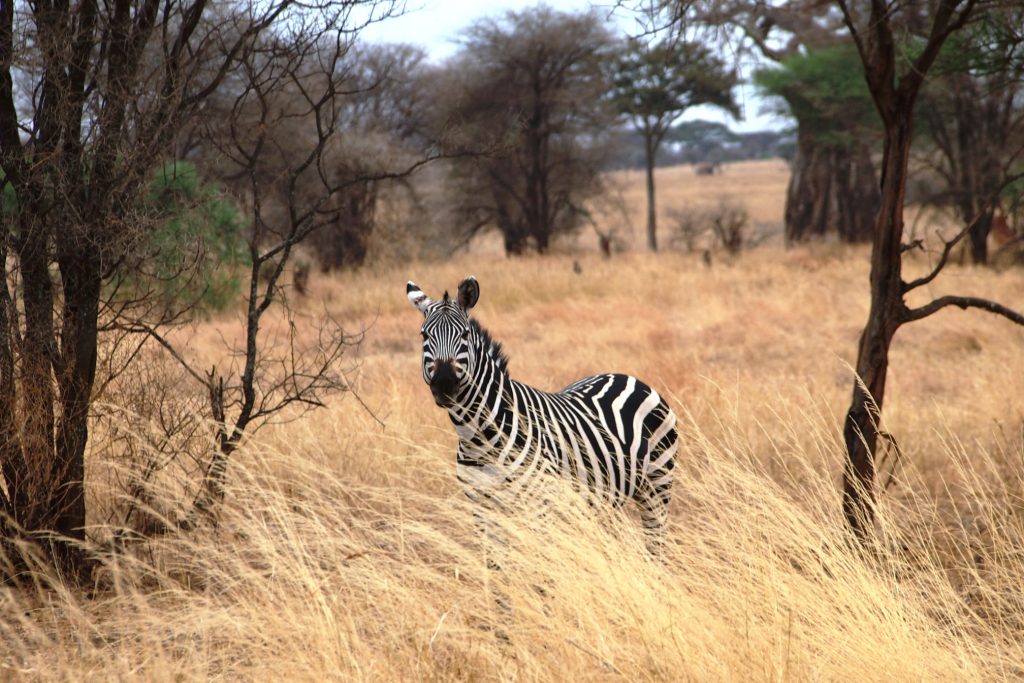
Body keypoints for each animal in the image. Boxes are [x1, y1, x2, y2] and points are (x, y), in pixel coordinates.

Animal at [403, 274, 675, 548]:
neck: (478, 436)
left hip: (657, 486)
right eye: (424, 335)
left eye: (465, 334)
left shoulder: (539, 506)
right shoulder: (482, 509)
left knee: (656, 545)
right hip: (607, 496)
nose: (444, 385)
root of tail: (627, 377)